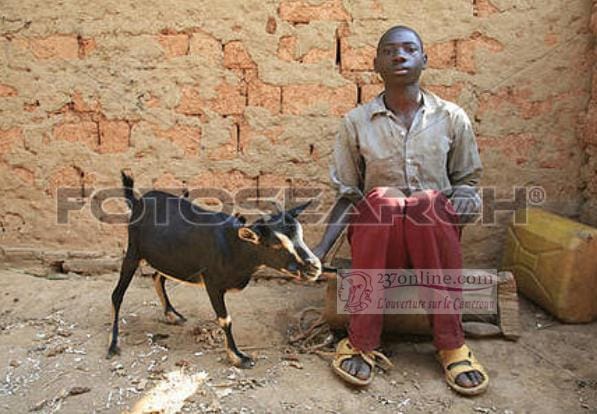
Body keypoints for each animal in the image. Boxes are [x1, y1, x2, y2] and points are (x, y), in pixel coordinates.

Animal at [107, 171, 322, 368]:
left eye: (300, 235)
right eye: (276, 245)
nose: (314, 267)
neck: (233, 247)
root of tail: (137, 202)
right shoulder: (212, 283)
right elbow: (225, 319)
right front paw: (238, 357)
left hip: (167, 257)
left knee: (157, 277)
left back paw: (172, 314)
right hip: (133, 251)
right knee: (117, 294)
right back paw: (113, 344)